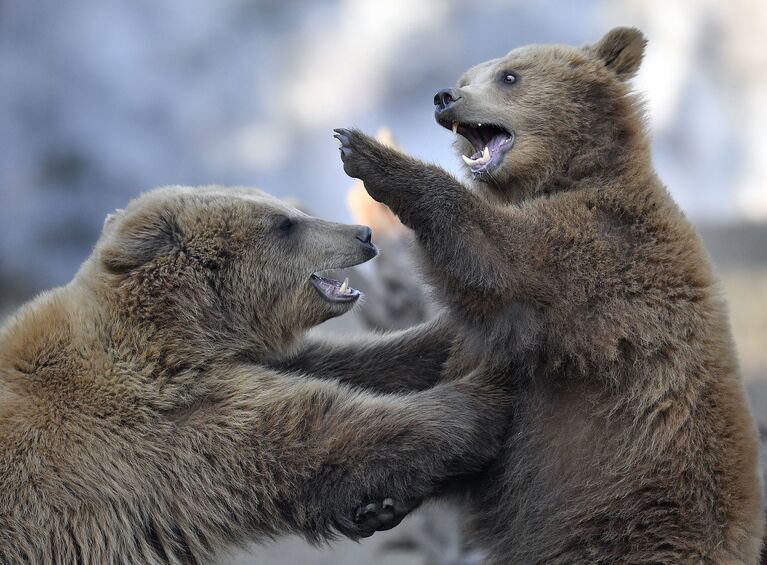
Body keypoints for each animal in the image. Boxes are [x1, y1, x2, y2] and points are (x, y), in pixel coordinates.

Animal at [1, 186, 516, 564]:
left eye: (288, 211)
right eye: (285, 224)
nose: (364, 233)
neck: (180, 332)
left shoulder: (241, 361)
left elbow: (358, 364)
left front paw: (456, 330)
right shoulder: (150, 428)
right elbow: (314, 429)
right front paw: (486, 390)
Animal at [326, 29, 767, 564]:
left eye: (509, 75)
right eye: (466, 77)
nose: (444, 96)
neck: (559, 176)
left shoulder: (601, 252)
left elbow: (499, 256)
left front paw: (369, 155)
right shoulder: (481, 338)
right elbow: (432, 370)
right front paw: (380, 503)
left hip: (633, 519)